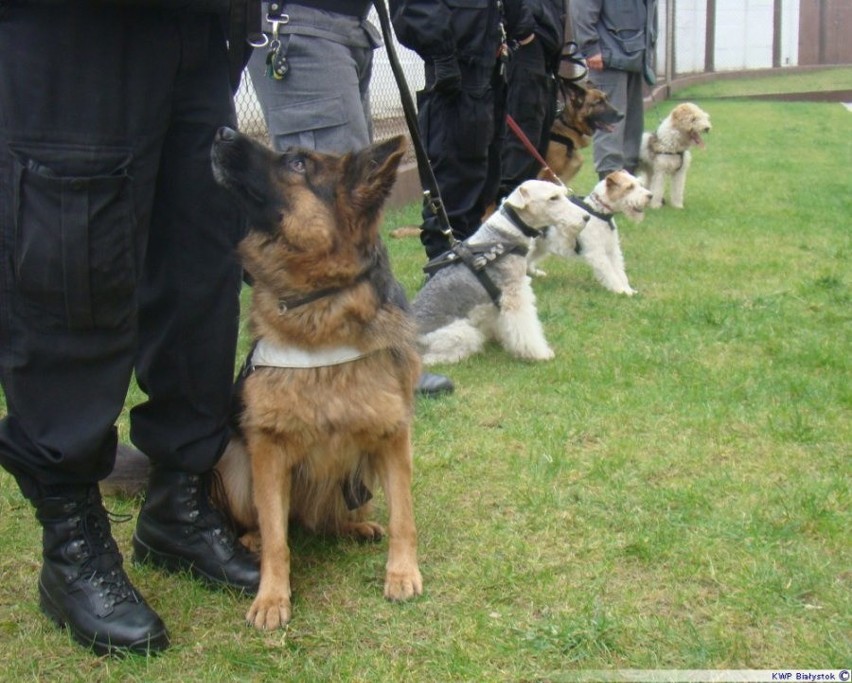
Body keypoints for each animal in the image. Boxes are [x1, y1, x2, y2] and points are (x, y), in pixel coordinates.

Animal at [210, 128, 422, 632]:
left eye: (298, 163)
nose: (222, 132)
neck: (320, 307)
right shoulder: (267, 449)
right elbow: (277, 540)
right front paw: (272, 597)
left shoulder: (393, 437)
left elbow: (404, 517)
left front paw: (402, 573)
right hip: (236, 465)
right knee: (273, 525)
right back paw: (249, 539)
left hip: (358, 480)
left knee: (329, 519)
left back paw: (355, 526)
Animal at [412, 179, 584, 366]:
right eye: (553, 198)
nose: (586, 217)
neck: (503, 237)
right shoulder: (515, 295)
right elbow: (526, 328)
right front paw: (540, 353)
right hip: (461, 333)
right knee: (432, 357)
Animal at [524, 170, 652, 296]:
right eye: (629, 187)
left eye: (639, 184)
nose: (650, 196)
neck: (599, 212)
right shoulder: (597, 253)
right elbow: (610, 273)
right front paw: (622, 291)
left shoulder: (612, 250)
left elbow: (620, 272)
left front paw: (629, 289)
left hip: (541, 246)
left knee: (529, 260)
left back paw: (535, 273)